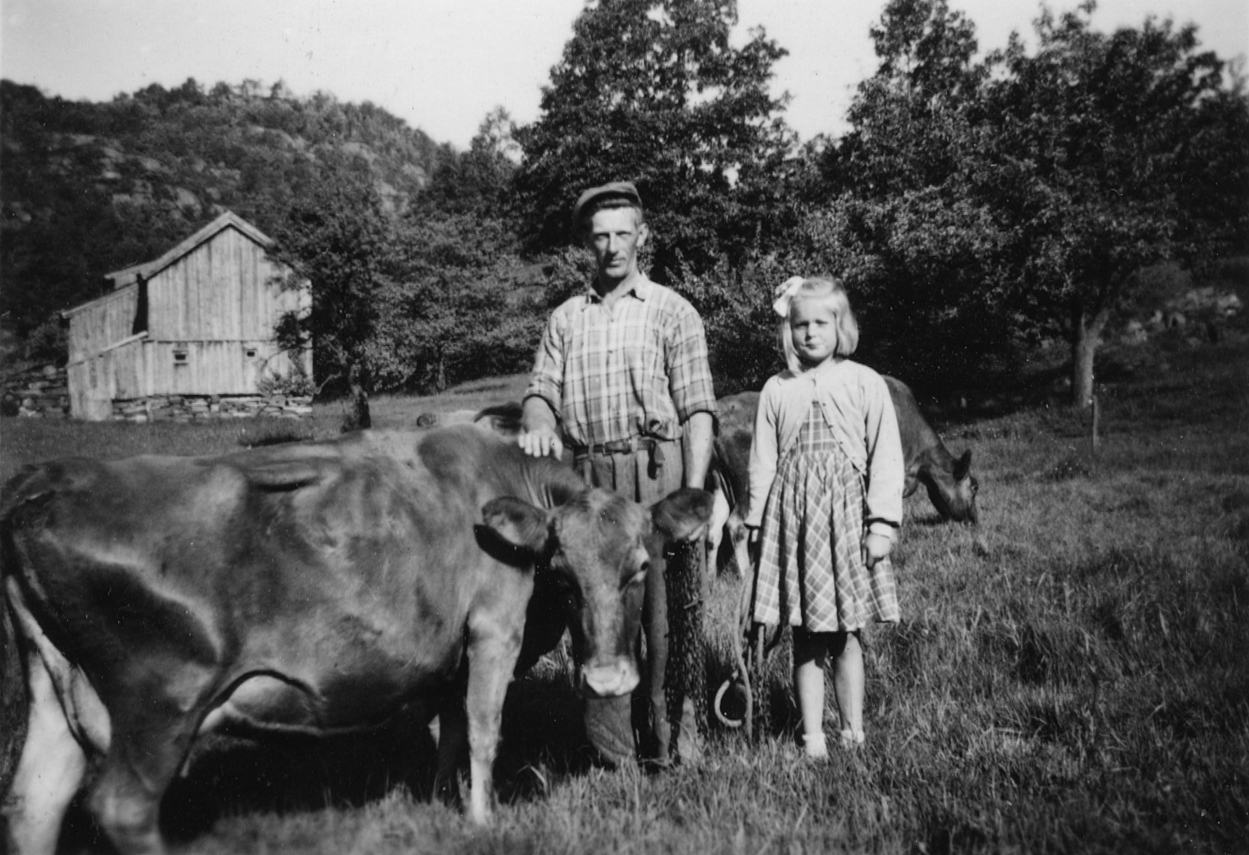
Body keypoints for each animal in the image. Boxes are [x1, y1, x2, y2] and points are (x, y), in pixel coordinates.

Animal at [0, 424, 712, 855]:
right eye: (561, 574)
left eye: (639, 566)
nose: (608, 680)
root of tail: (44, 478)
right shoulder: (493, 630)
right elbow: (483, 728)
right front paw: (482, 820)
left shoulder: (451, 654)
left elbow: (451, 730)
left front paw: (441, 800)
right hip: (161, 702)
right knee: (122, 806)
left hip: (53, 693)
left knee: (33, 805)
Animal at [707, 377, 978, 576]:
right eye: (974, 487)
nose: (974, 520)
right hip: (748, 483)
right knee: (736, 525)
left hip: (718, 484)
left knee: (713, 529)